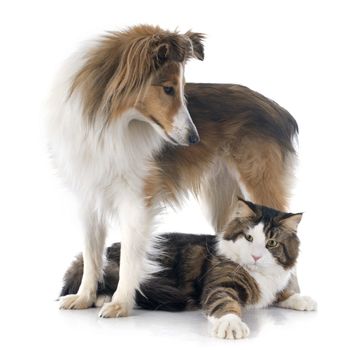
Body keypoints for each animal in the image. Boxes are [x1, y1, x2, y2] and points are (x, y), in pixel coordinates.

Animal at [60, 200, 318, 340]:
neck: (261, 275)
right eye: (248, 237)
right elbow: (226, 304)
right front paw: (231, 325)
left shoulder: (275, 283)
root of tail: (113, 246)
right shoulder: (220, 285)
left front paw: (302, 299)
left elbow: (283, 293)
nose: (255, 256)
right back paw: (103, 299)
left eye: (271, 243)